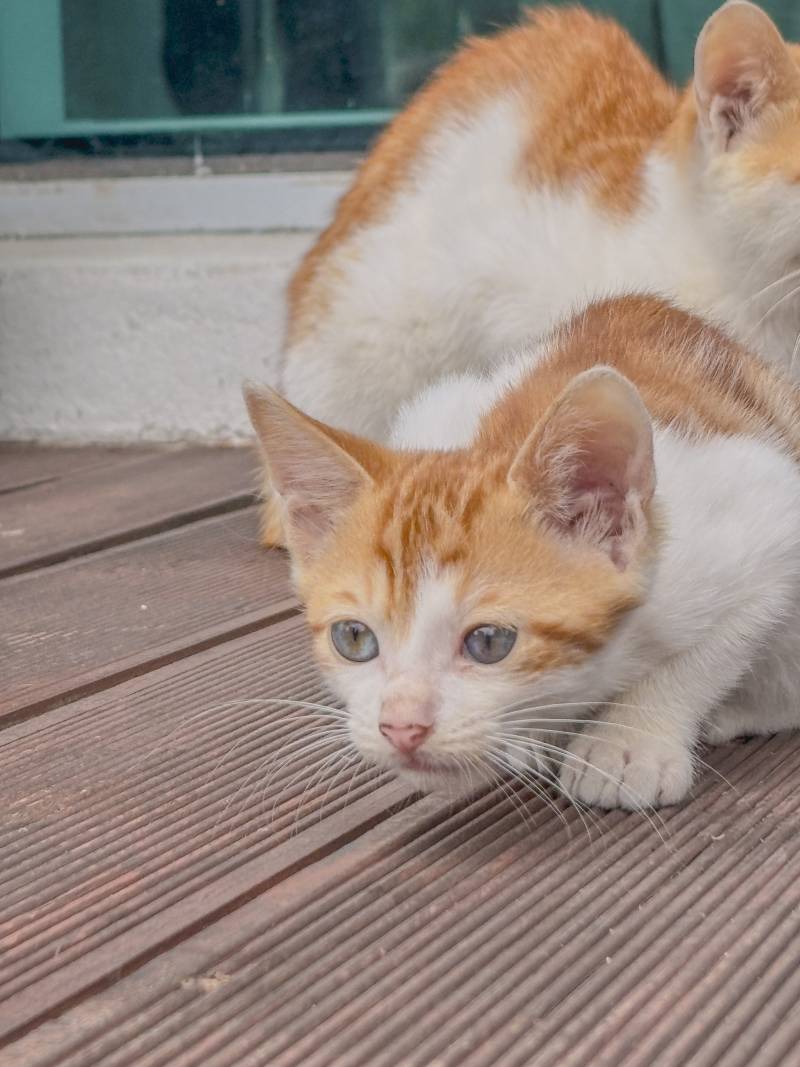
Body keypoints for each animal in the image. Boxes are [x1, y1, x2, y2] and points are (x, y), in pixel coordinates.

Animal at [247, 296, 800, 810]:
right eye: (354, 638)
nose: (401, 727)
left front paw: (627, 744)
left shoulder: (766, 522)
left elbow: (707, 653)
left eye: (490, 642)